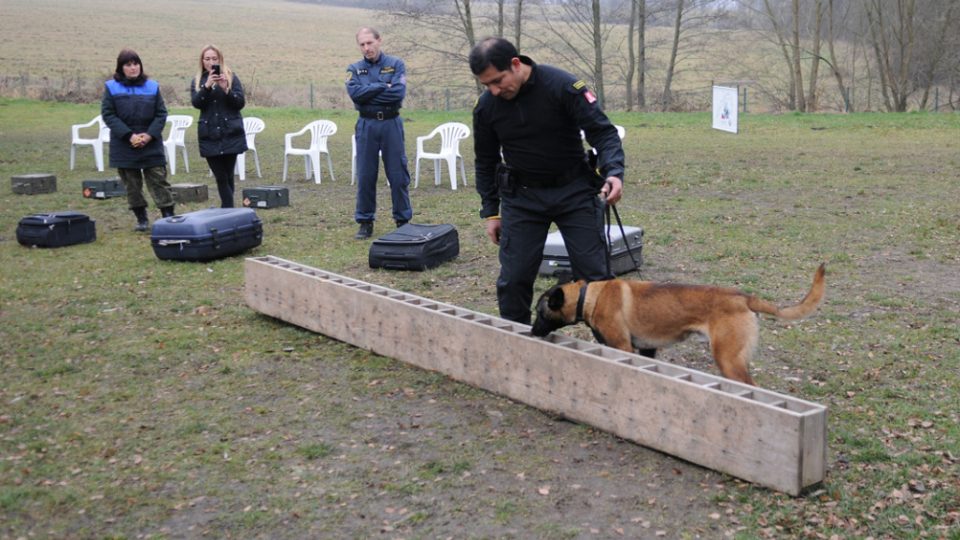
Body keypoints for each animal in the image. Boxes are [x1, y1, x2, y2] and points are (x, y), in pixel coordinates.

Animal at [528, 264, 828, 384]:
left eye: (540, 313)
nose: (531, 331)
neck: (590, 295)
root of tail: (744, 297)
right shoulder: (646, 349)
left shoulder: (623, 347)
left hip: (728, 359)